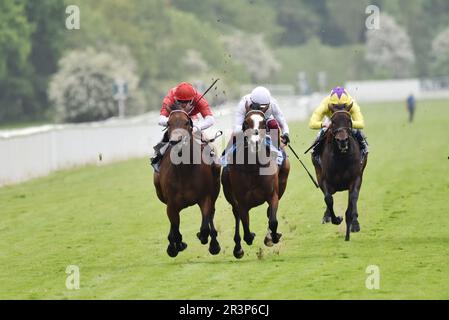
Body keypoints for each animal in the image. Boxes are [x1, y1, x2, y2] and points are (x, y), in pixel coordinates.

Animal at [153, 109, 221, 256]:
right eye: (168, 123)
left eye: (186, 122)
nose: (175, 141)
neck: (183, 170)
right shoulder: (171, 204)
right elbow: (175, 229)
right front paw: (175, 245)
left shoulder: (205, 197)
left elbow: (205, 226)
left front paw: (204, 238)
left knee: (211, 214)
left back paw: (214, 243)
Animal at [221, 106, 290, 258]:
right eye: (246, 123)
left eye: (264, 123)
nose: (255, 142)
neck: (253, 168)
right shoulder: (241, 201)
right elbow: (246, 230)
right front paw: (249, 237)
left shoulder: (272, 195)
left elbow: (273, 220)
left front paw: (272, 237)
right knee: (236, 216)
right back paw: (238, 248)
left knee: (269, 212)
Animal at [312, 107, 368, 240]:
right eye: (333, 122)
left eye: (349, 120)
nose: (342, 141)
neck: (341, 158)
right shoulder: (323, 180)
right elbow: (328, 198)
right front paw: (336, 219)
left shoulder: (356, 178)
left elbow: (353, 197)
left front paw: (354, 223)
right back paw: (326, 216)